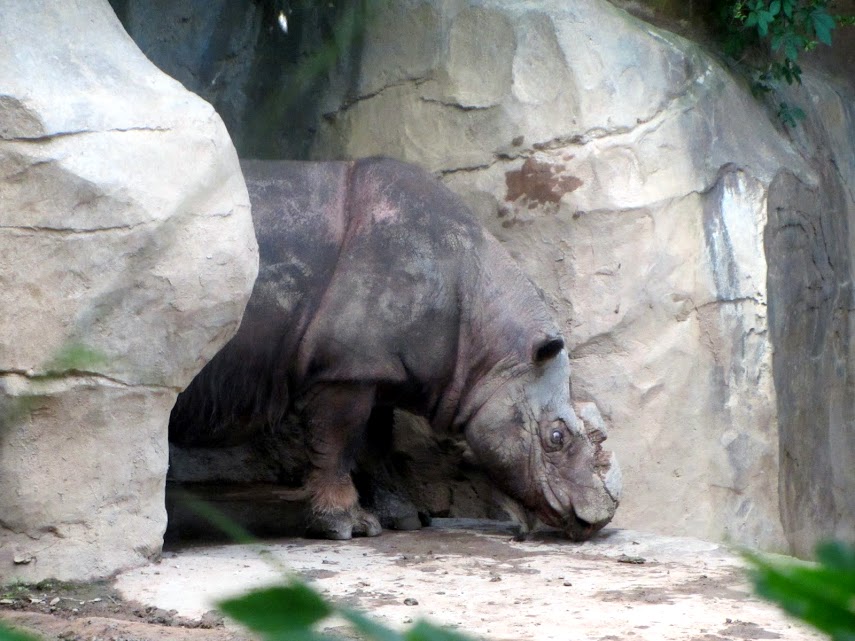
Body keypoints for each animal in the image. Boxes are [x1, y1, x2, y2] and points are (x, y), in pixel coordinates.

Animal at [169, 157, 621, 540]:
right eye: (556, 437)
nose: (593, 522)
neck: (492, 343)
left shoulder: (375, 366)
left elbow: (375, 446)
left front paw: (405, 520)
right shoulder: (346, 369)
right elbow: (339, 444)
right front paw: (346, 528)